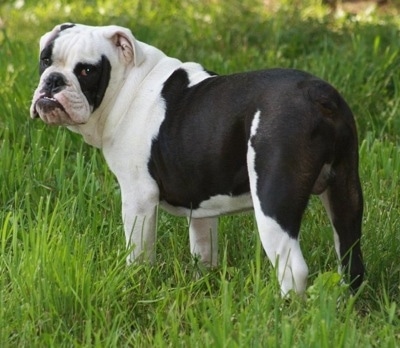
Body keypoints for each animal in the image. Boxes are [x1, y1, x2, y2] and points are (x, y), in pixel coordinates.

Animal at [29, 23, 364, 294]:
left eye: (87, 70)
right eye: (45, 60)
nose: (53, 80)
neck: (127, 86)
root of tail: (317, 95)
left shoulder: (138, 198)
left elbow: (138, 252)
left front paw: (136, 283)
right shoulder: (200, 200)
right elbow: (203, 246)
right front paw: (202, 281)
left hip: (273, 201)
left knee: (294, 269)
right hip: (345, 192)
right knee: (351, 255)